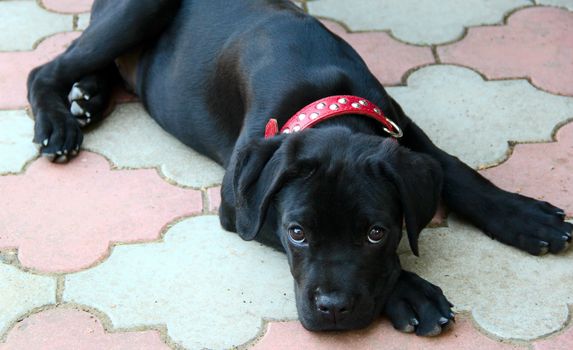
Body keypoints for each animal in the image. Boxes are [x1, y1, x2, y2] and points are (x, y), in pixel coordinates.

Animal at [25, 0, 568, 336]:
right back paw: (60, 122)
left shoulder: (399, 123)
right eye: (297, 233)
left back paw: (87, 98)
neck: (320, 91)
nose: (332, 311)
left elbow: (455, 170)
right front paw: (413, 294)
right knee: (45, 68)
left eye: (376, 233)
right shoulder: (239, 207)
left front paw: (525, 217)